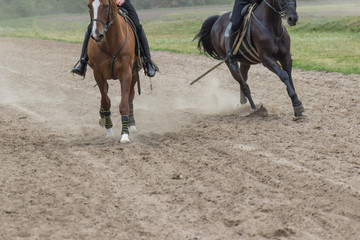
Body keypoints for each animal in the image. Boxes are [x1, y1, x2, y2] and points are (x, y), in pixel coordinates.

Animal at [86, 0, 139, 142]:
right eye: (89, 6)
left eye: (106, 5)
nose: (96, 35)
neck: (110, 43)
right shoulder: (98, 74)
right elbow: (106, 102)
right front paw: (109, 130)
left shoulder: (126, 73)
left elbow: (124, 104)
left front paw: (125, 135)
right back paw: (102, 119)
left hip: (134, 74)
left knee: (130, 97)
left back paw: (132, 125)